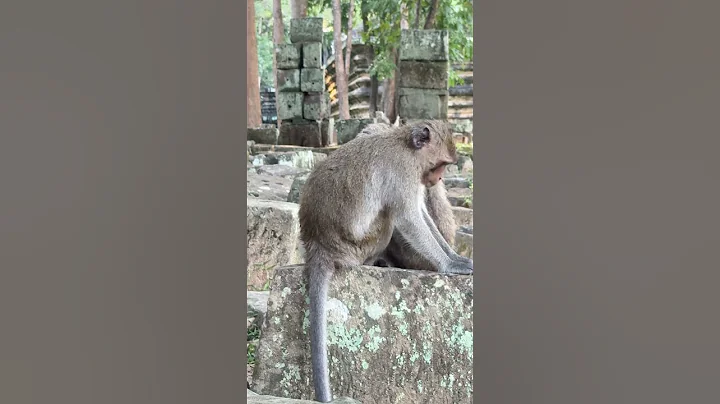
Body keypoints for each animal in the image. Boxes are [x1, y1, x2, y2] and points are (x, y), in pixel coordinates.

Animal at [298, 120, 473, 402]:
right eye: (440, 165)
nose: (439, 179)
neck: (405, 146)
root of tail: (318, 245)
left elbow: (422, 215)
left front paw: (455, 256)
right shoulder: (403, 174)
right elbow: (409, 219)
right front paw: (449, 265)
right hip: (361, 244)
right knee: (389, 218)